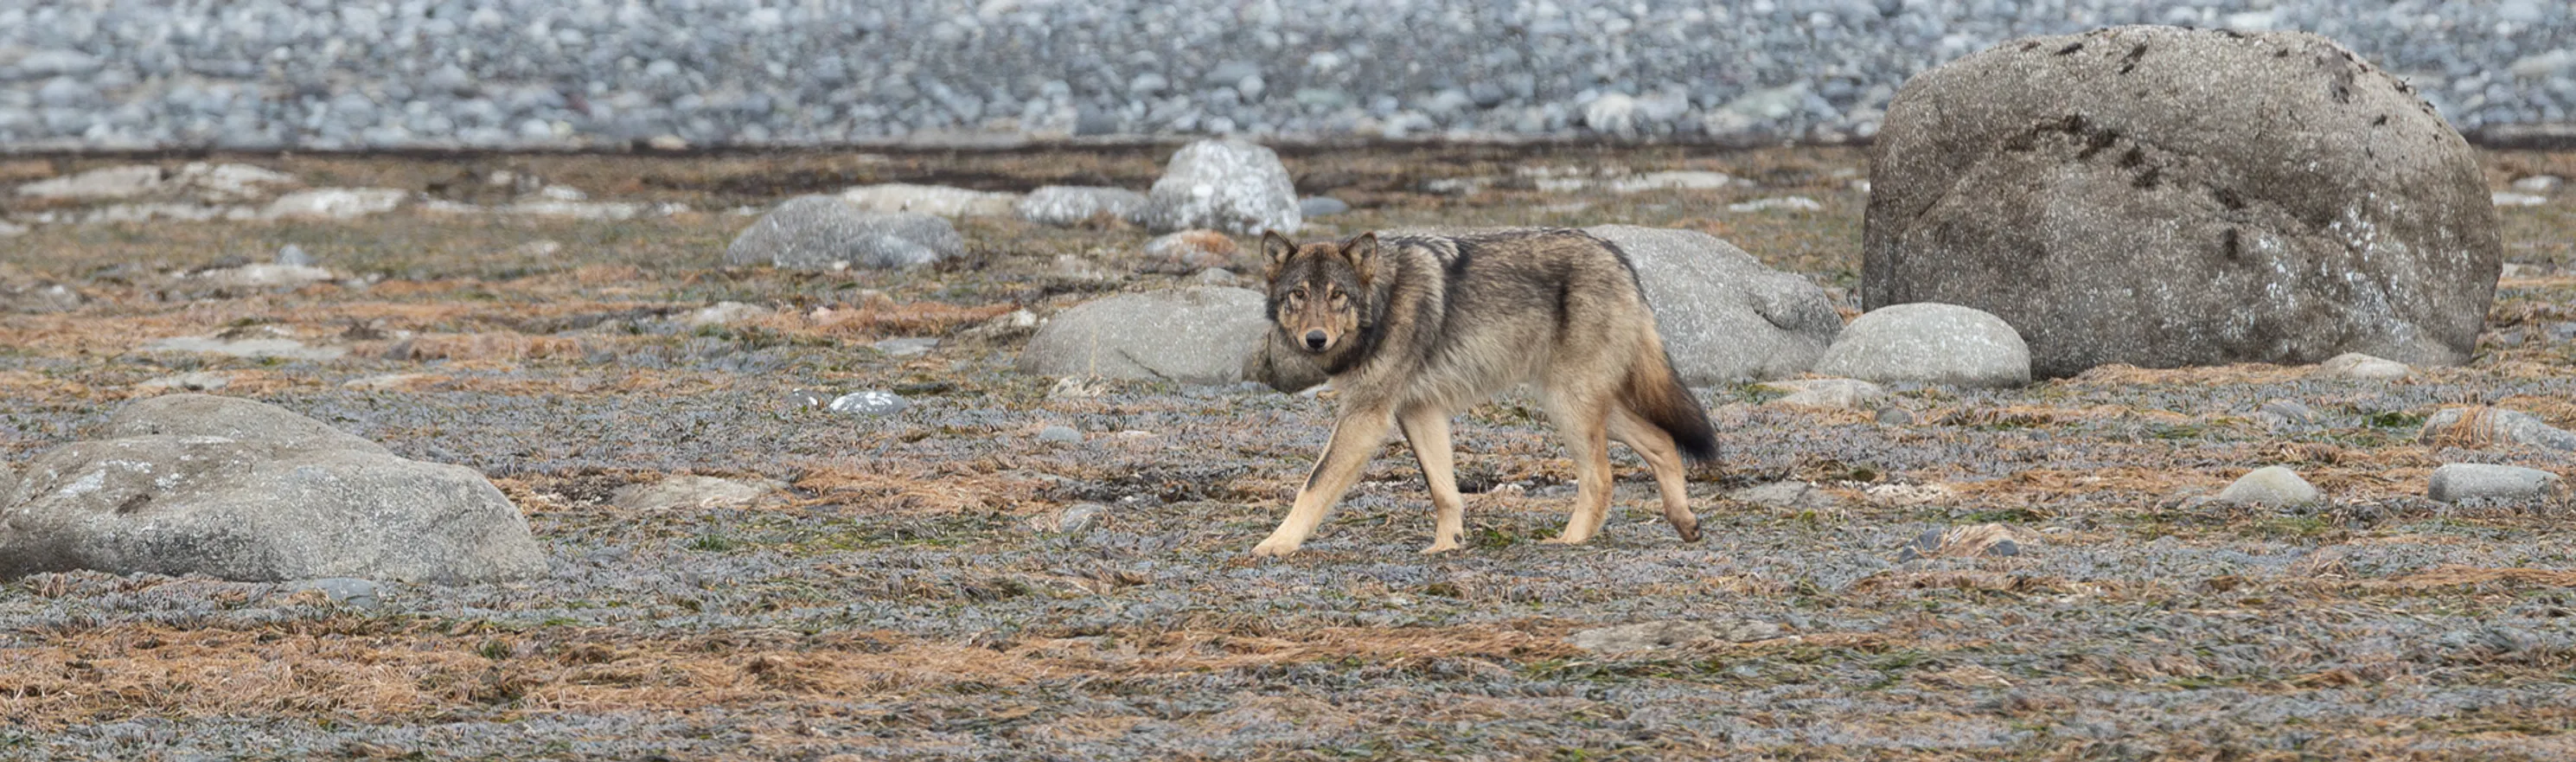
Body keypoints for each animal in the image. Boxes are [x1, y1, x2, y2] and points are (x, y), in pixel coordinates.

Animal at [1250, 227, 1718, 557]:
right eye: (1299, 294)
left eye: (1337, 296)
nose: (1315, 339)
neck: (1382, 304)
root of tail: (1618, 257)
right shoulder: (1419, 411)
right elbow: (1444, 491)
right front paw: (1447, 546)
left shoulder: (1366, 416)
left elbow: (1314, 483)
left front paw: (1277, 543)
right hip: (1581, 404)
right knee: (1662, 441)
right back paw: (1686, 522)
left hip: (1570, 406)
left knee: (1601, 479)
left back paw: (1569, 542)